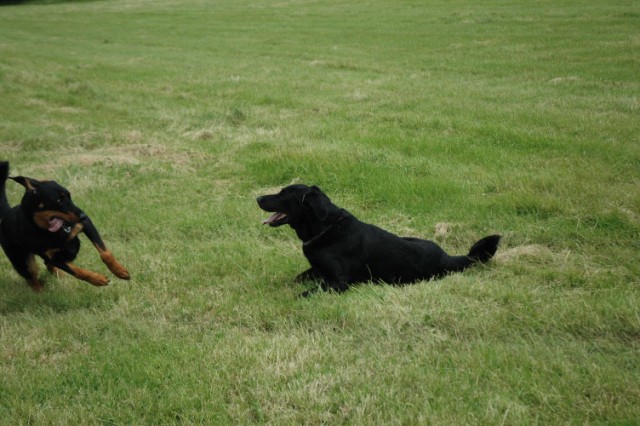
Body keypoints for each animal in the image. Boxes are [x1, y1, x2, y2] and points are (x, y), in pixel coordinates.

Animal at [0, 161, 130, 292]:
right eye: (58, 200)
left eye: (69, 196)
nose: (84, 215)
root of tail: (5, 214)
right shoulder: (53, 257)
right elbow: (76, 271)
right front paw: (97, 279)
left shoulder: (86, 225)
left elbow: (105, 253)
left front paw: (119, 271)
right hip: (23, 262)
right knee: (31, 277)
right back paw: (40, 291)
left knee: (46, 266)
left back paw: (59, 275)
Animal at [258, 183, 502, 296]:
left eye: (283, 194)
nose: (258, 198)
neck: (325, 228)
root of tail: (449, 258)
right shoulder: (317, 270)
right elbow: (295, 280)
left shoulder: (339, 282)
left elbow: (305, 292)